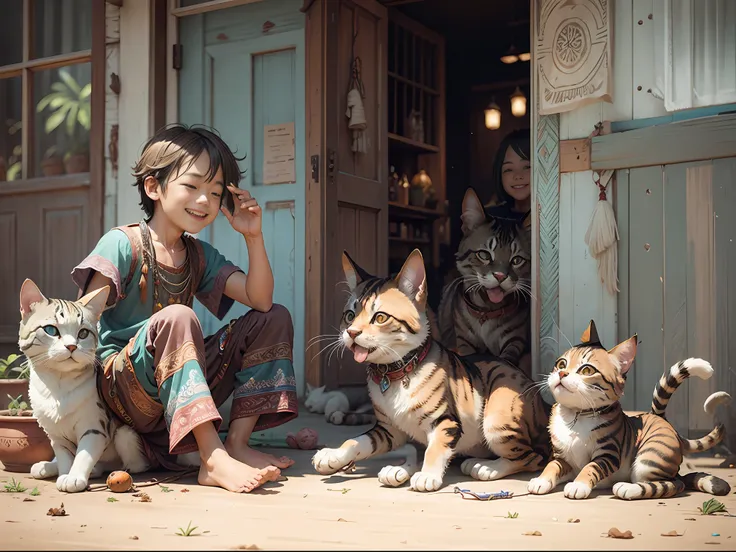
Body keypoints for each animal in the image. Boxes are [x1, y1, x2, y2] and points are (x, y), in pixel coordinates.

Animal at [18, 280, 150, 492]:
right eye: (51, 330)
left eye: (83, 333)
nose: (72, 346)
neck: (57, 386)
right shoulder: (56, 437)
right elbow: (65, 458)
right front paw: (64, 473)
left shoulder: (94, 428)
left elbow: (84, 455)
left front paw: (73, 477)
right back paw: (47, 466)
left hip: (125, 434)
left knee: (130, 463)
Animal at [312, 249, 552, 492]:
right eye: (349, 316)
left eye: (380, 317)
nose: (351, 333)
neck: (396, 373)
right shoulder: (388, 430)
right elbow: (356, 441)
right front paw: (332, 456)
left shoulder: (445, 421)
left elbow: (435, 448)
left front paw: (427, 476)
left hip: (496, 418)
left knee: (532, 458)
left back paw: (486, 468)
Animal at [440, 188, 532, 374]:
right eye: (484, 255)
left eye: (517, 260)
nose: (500, 276)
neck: (487, 310)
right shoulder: (465, 341)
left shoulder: (515, 340)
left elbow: (506, 361)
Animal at [528, 320, 732, 500]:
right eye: (561, 364)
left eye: (587, 370)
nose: (562, 373)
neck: (576, 415)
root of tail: (663, 420)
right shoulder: (563, 458)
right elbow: (552, 466)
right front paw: (540, 481)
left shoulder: (608, 454)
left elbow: (590, 467)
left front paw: (578, 485)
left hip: (649, 459)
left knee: (674, 483)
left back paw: (627, 489)